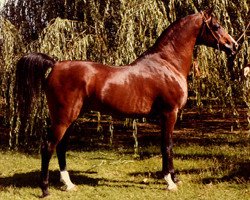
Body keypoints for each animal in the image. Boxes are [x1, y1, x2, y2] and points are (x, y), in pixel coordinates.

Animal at [15, 8, 238, 197]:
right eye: (216, 26)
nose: (234, 45)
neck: (167, 63)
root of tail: (55, 65)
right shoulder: (169, 113)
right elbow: (167, 146)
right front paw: (170, 182)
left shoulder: (166, 116)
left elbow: (168, 145)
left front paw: (174, 178)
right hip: (63, 118)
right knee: (48, 147)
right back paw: (45, 190)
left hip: (70, 118)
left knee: (61, 147)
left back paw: (69, 185)